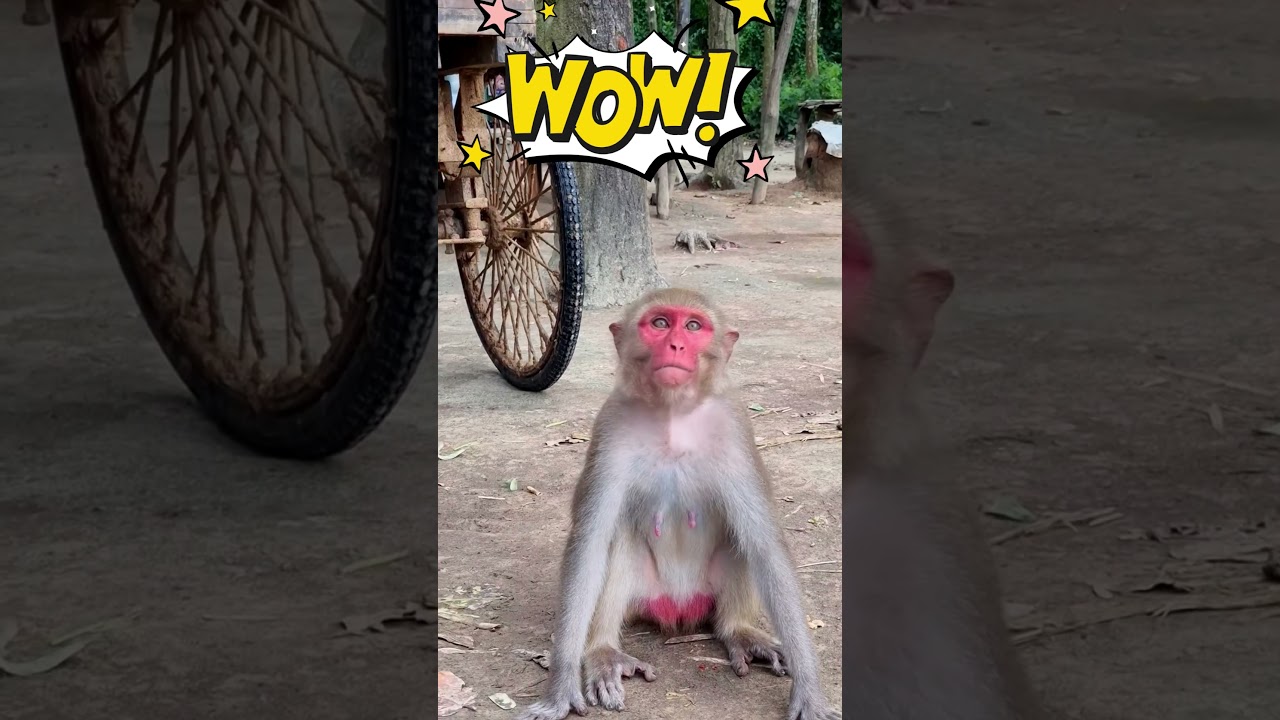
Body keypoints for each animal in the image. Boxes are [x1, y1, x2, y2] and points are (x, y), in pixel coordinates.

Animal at [516, 288, 840, 720]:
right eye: (659, 323)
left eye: (693, 326)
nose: (676, 345)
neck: (672, 413)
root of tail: (680, 608)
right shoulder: (610, 427)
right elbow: (590, 545)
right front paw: (560, 687)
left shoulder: (734, 427)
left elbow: (764, 546)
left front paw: (809, 689)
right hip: (645, 594)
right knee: (617, 541)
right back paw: (603, 651)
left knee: (740, 539)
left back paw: (738, 630)